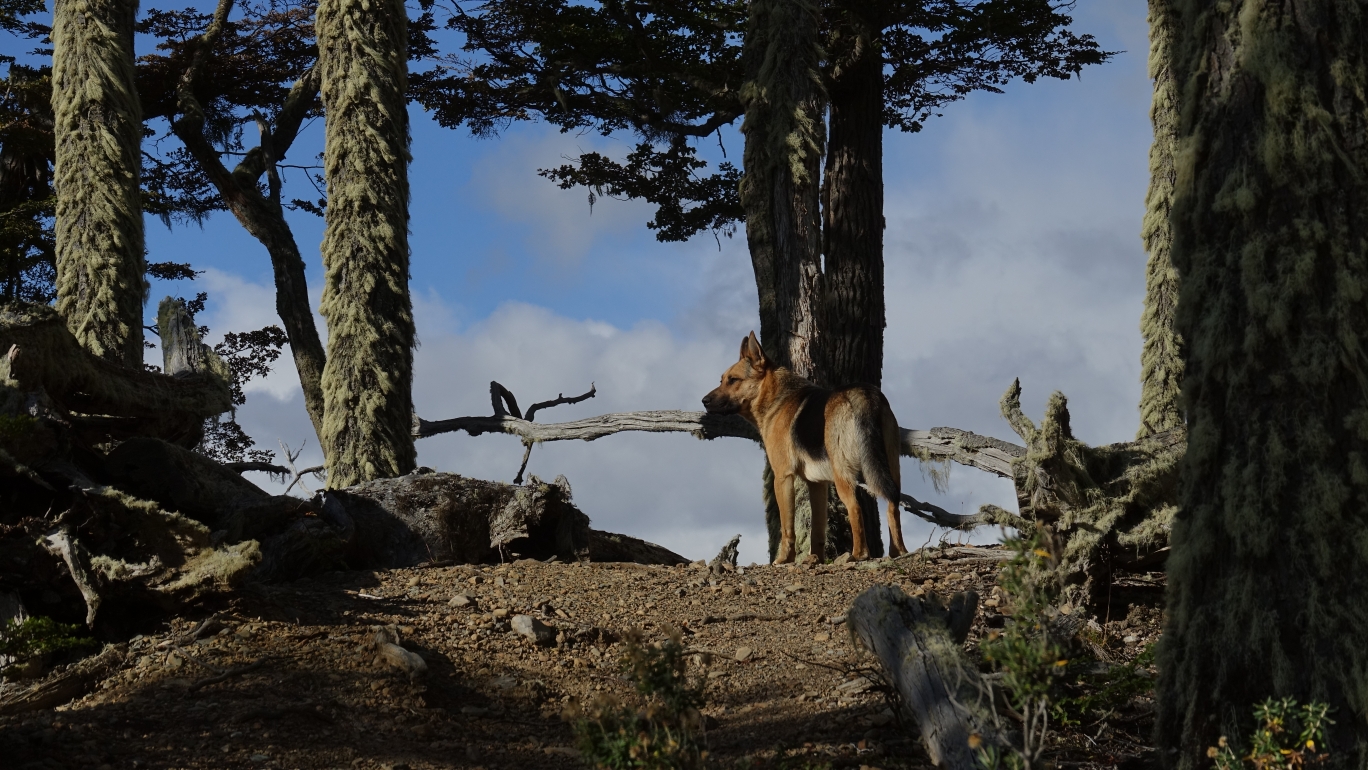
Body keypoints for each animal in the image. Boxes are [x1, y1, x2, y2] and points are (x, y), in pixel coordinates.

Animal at [705, 332, 908, 566]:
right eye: (722, 380)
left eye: (733, 380)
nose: (704, 401)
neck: (776, 399)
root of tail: (863, 394)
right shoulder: (817, 484)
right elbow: (817, 531)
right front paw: (816, 559)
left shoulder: (783, 478)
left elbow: (787, 527)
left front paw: (784, 559)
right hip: (890, 468)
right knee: (893, 505)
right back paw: (898, 552)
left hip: (843, 476)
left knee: (855, 508)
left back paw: (858, 554)